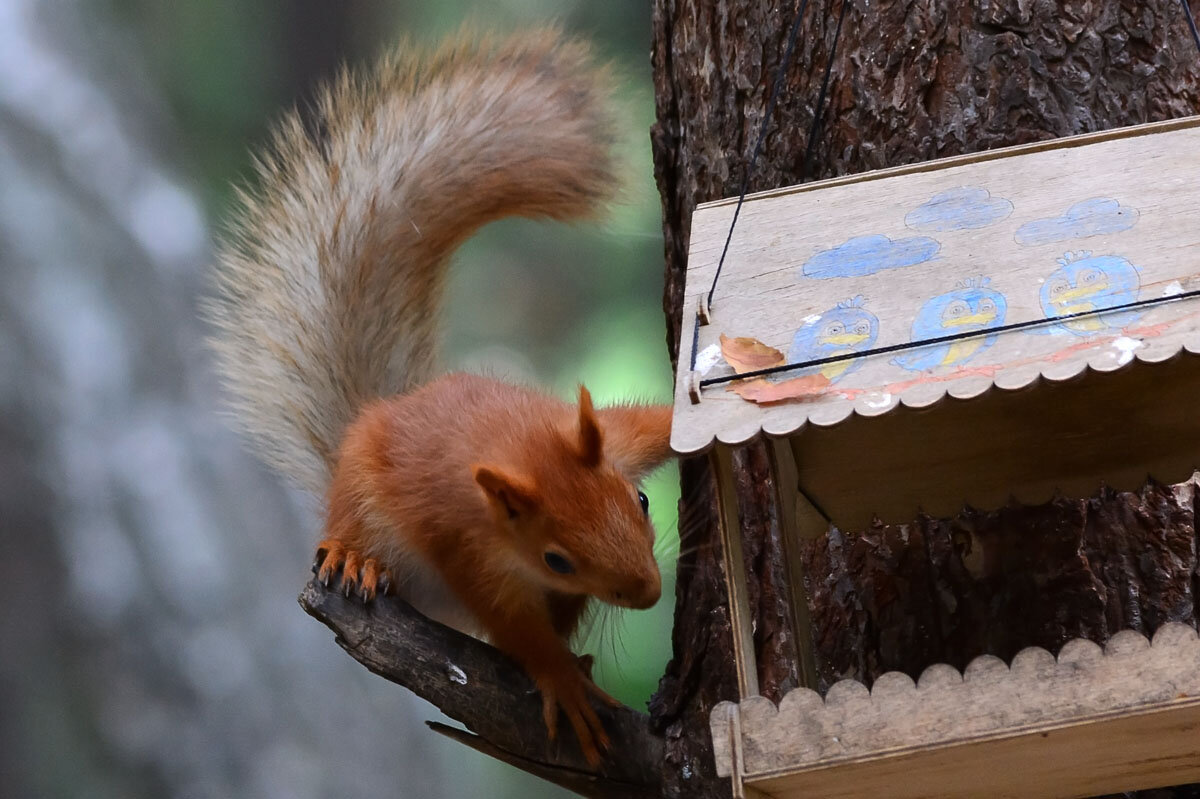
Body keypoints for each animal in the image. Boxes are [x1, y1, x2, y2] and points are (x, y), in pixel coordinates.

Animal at [206, 32, 676, 767]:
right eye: (556, 558)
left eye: (643, 500)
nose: (650, 593)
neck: (511, 439)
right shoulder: (463, 536)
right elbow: (511, 622)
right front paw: (559, 677)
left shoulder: (609, 435)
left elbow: (656, 424)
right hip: (364, 504)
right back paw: (355, 557)